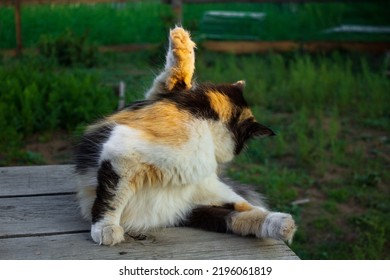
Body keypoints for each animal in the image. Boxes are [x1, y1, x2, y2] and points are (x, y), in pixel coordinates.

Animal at [75, 26, 296, 245]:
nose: (234, 156)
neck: (203, 120)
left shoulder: (160, 100)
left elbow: (172, 80)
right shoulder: (122, 155)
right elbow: (113, 196)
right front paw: (106, 228)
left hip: (208, 193)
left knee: (244, 209)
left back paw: (282, 224)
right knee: (238, 215)